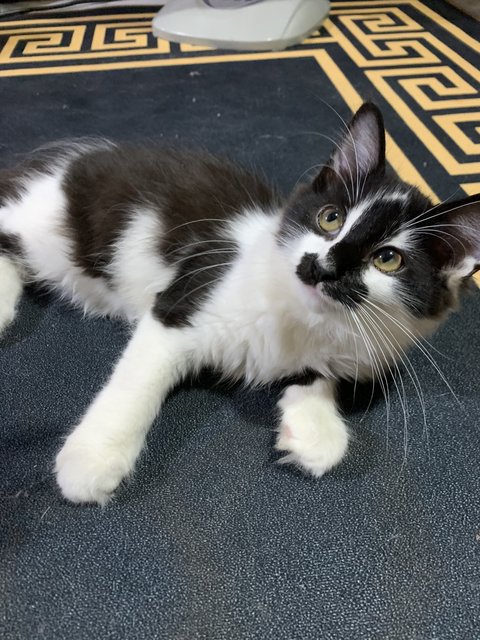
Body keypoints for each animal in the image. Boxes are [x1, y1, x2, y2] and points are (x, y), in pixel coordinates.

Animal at [0, 104, 478, 504]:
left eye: (388, 259)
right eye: (330, 218)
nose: (321, 267)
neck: (301, 319)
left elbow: (322, 377)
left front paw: (314, 429)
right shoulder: (180, 302)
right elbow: (135, 384)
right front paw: (93, 457)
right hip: (46, 228)